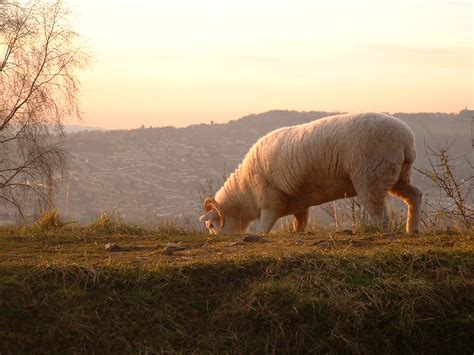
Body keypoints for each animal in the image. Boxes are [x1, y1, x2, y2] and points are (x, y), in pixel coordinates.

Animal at [200, 114, 422, 236]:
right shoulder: (299, 202)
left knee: (379, 213)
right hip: (397, 175)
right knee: (414, 195)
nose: (217, 238)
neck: (244, 191)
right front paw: (298, 233)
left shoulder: (270, 201)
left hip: (370, 175)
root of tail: (407, 139)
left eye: (211, 225)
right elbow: (300, 223)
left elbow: (264, 227)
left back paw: (380, 231)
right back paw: (412, 229)